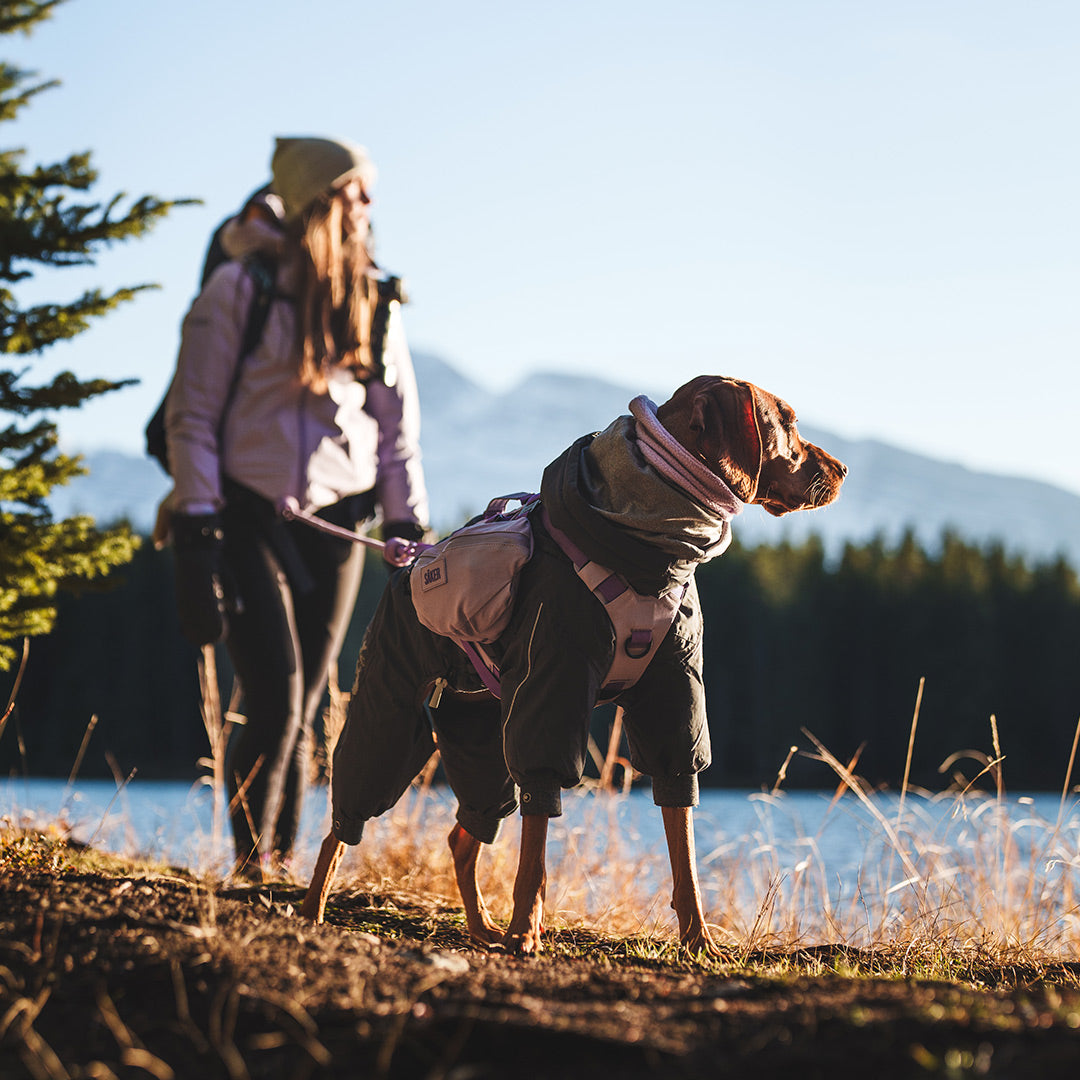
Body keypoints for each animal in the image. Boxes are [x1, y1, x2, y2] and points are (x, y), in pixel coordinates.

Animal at [302, 378, 842, 954]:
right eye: (788, 421)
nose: (842, 470)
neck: (653, 544)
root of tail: (413, 560)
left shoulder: (674, 695)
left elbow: (684, 847)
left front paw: (698, 939)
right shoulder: (552, 688)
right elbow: (536, 843)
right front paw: (525, 931)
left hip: (483, 731)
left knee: (463, 833)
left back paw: (481, 927)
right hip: (393, 704)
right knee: (345, 818)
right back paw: (313, 908)